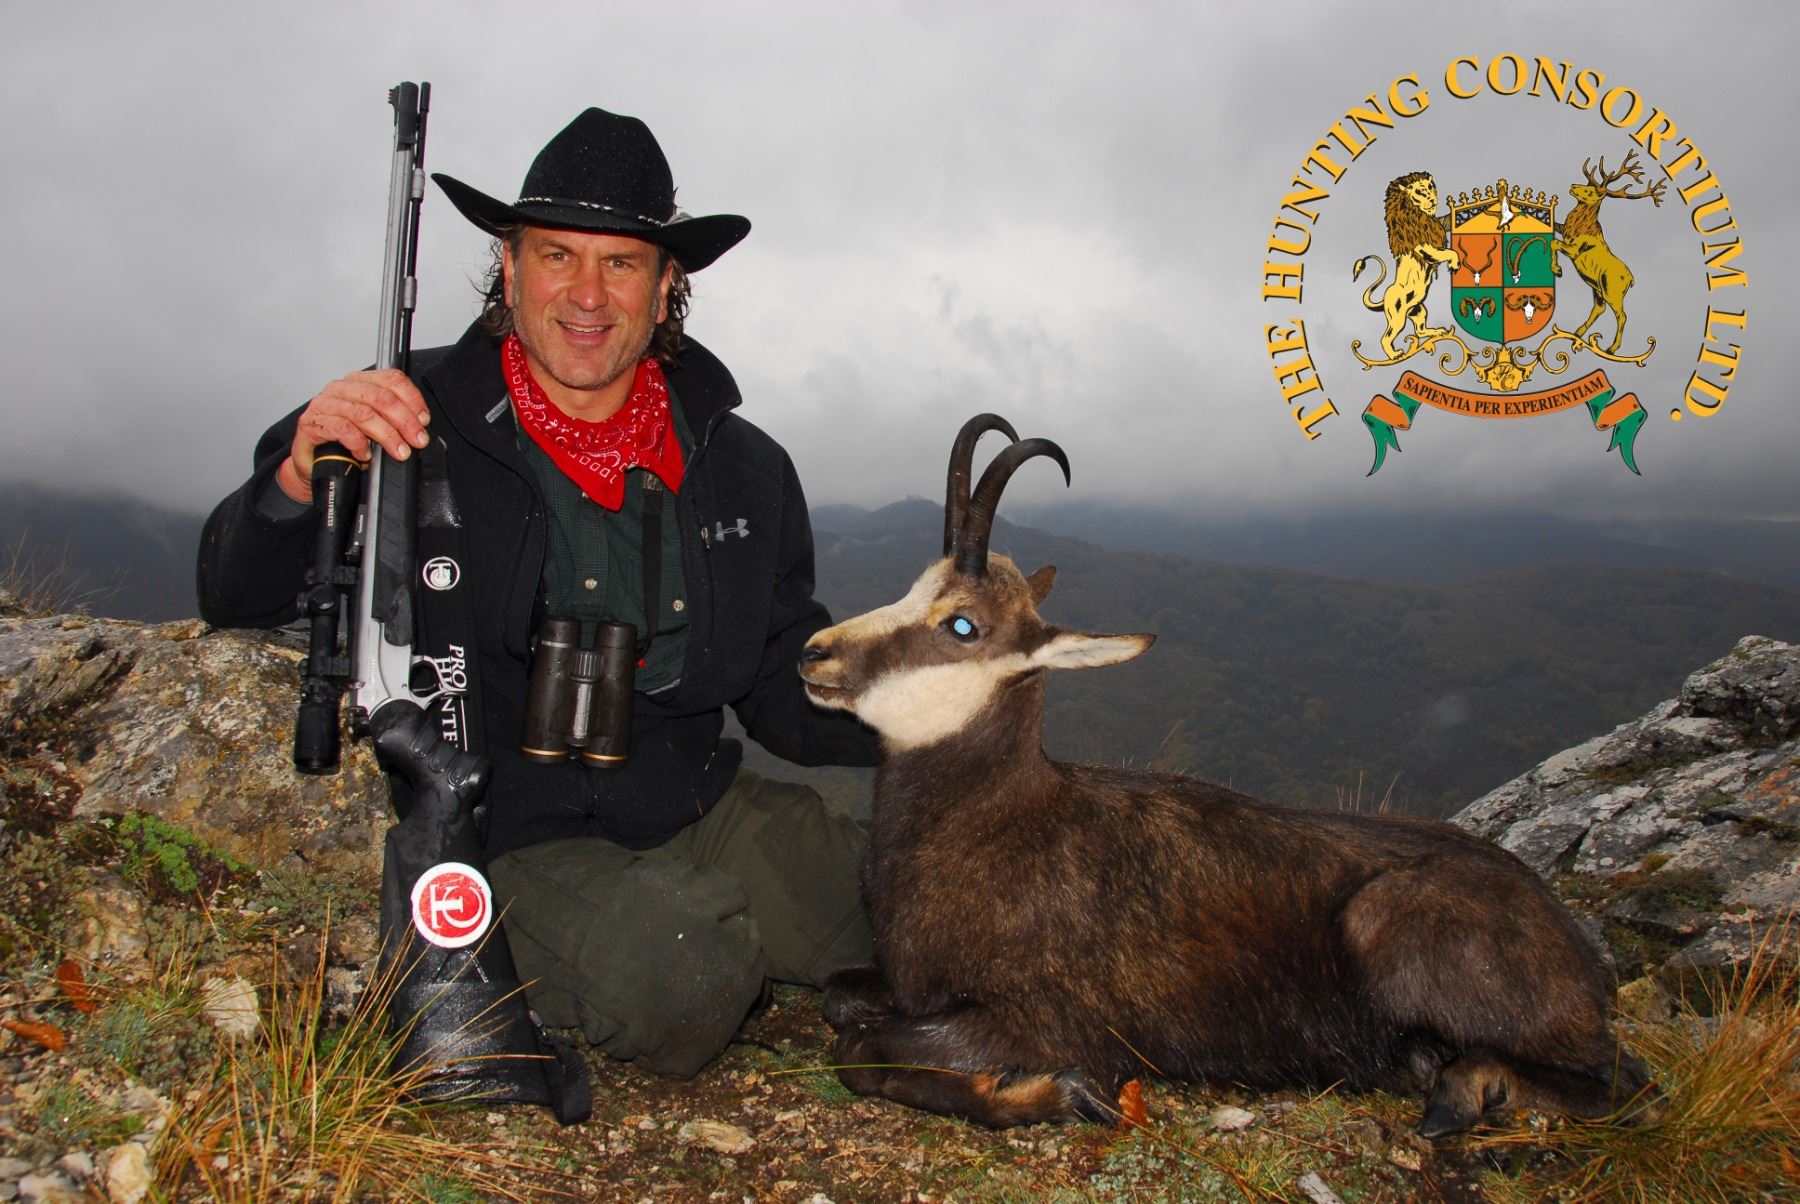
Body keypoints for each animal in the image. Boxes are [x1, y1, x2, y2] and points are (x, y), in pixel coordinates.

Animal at [799, 414, 1654, 1134]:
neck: (994, 825)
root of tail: (1580, 957)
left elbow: (862, 1049)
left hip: (1391, 927)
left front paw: (1050, 1092)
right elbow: (841, 1000)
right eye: (913, 585)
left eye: (962, 625)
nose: (814, 653)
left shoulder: (1048, 1016)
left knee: (1629, 1082)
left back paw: (1465, 1088)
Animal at [1552, 149, 1667, 354]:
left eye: (1590, 191)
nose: (1573, 185)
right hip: (1597, 288)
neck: (1580, 227)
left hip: (1611, 290)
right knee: (1599, 308)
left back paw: (1611, 348)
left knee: (1622, 315)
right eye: (1587, 184)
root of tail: (1631, 280)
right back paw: (1577, 336)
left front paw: (1558, 270)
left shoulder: (1575, 249)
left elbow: (1554, 243)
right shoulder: (1563, 230)